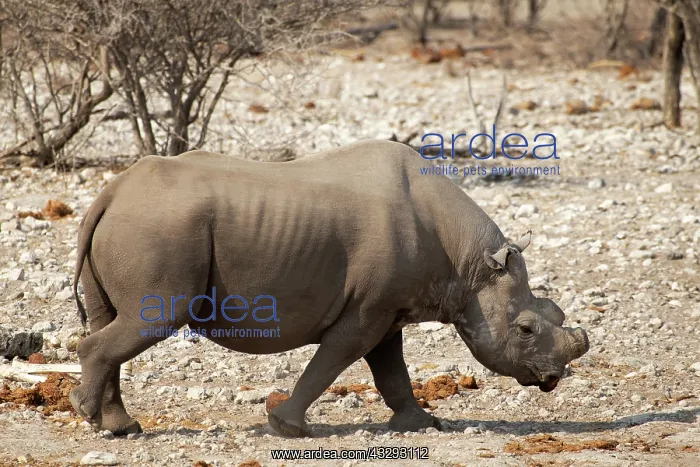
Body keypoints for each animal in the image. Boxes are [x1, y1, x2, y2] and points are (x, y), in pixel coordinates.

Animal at [69, 139, 589, 437]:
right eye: (524, 329)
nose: (553, 377)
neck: (470, 266)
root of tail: (111, 192)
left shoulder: (390, 307)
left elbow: (391, 370)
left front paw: (423, 424)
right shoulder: (370, 307)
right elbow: (337, 357)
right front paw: (286, 428)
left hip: (138, 225)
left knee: (114, 321)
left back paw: (120, 428)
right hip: (158, 229)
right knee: (152, 319)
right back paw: (95, 421)